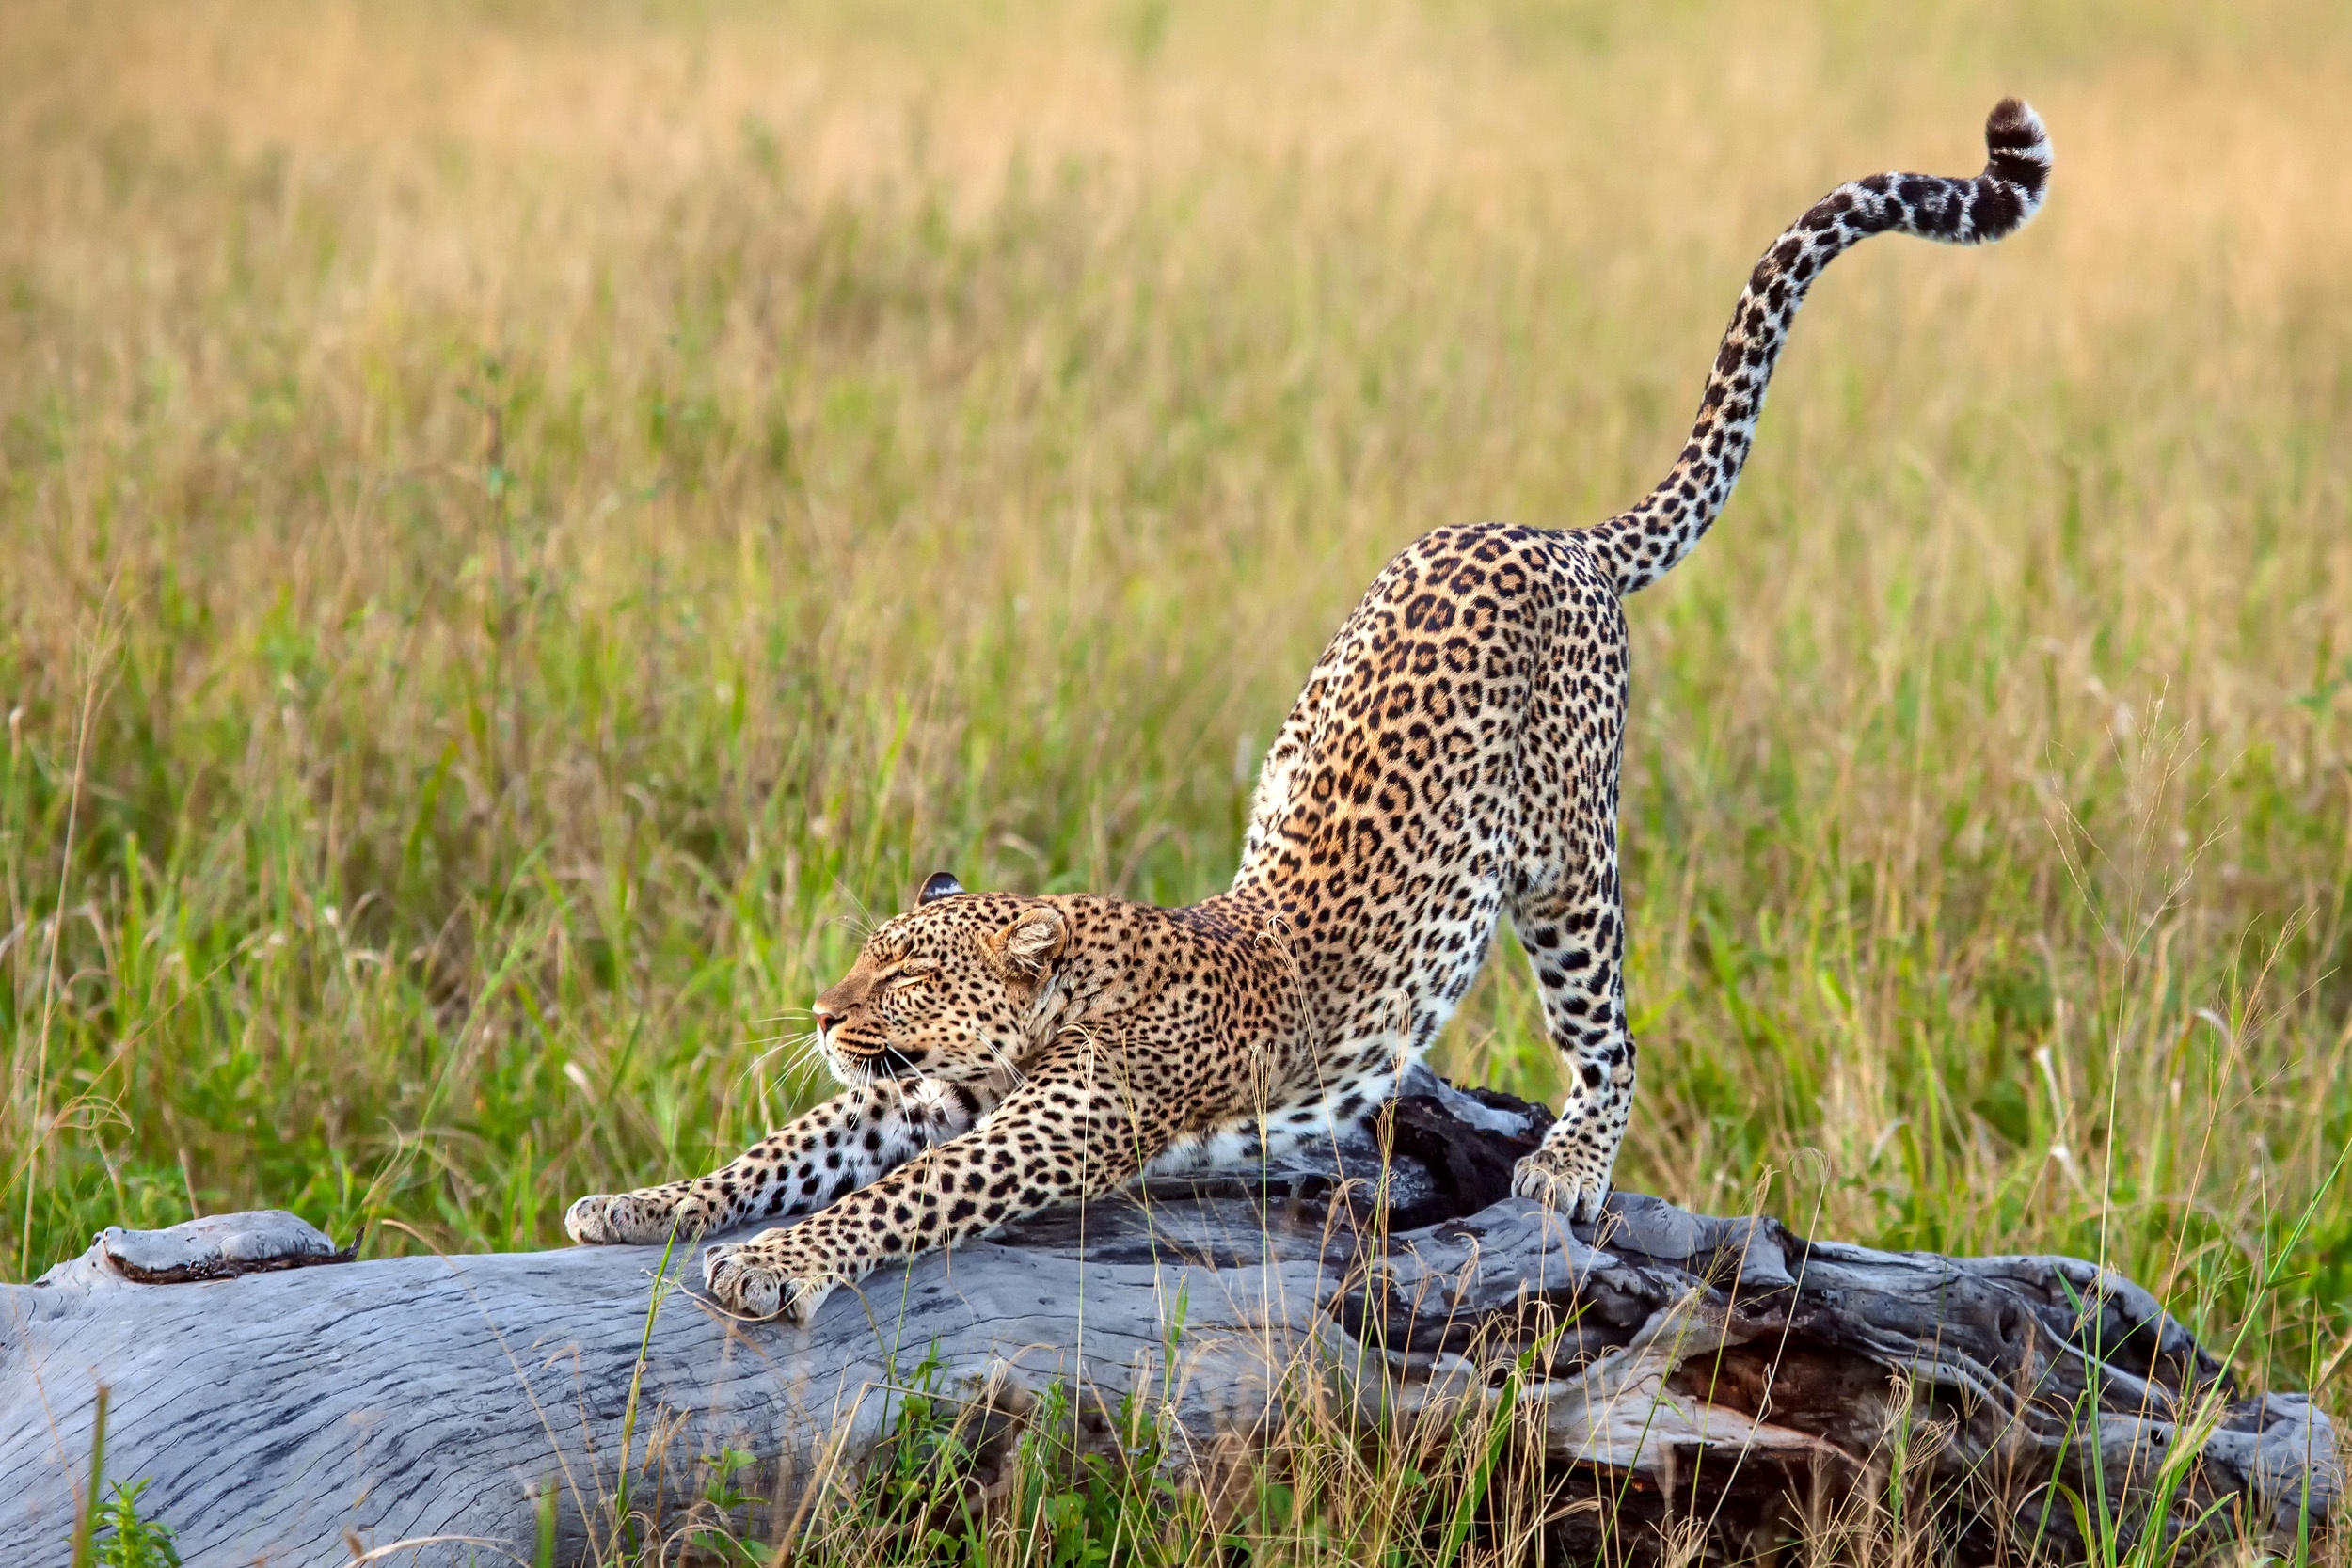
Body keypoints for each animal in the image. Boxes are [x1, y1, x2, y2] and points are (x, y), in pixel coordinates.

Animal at [560, 101, 2051, 1325]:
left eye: (906, 973)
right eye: (866, 959)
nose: (821, 1008)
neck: (1063, 993)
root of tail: (1550, 530)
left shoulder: (1048, 1125)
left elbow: (892, 1198)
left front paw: (776, 1261)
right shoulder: (925, 1092)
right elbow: (784, 1146)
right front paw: (646, 1200)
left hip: (1568, 870)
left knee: (1613, 1035)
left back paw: (1570, 1163)